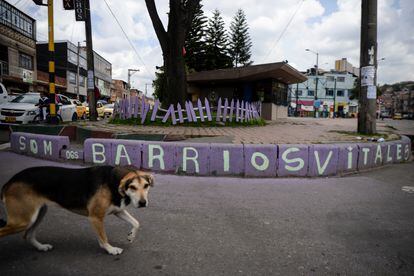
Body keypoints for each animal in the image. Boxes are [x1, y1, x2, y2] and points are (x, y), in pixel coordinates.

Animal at [0, 165, 154, 256]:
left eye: (146, 186)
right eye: (132, 187)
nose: (143, 203)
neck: (113, 181)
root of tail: (10, 182)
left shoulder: (117, 211)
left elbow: (136, 223)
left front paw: (131, 236)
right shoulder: (95, 217)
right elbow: (103, 237)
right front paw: (110, 249)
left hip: (38, 214)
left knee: (28, 235)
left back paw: (41, 247)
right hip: (23, 220)